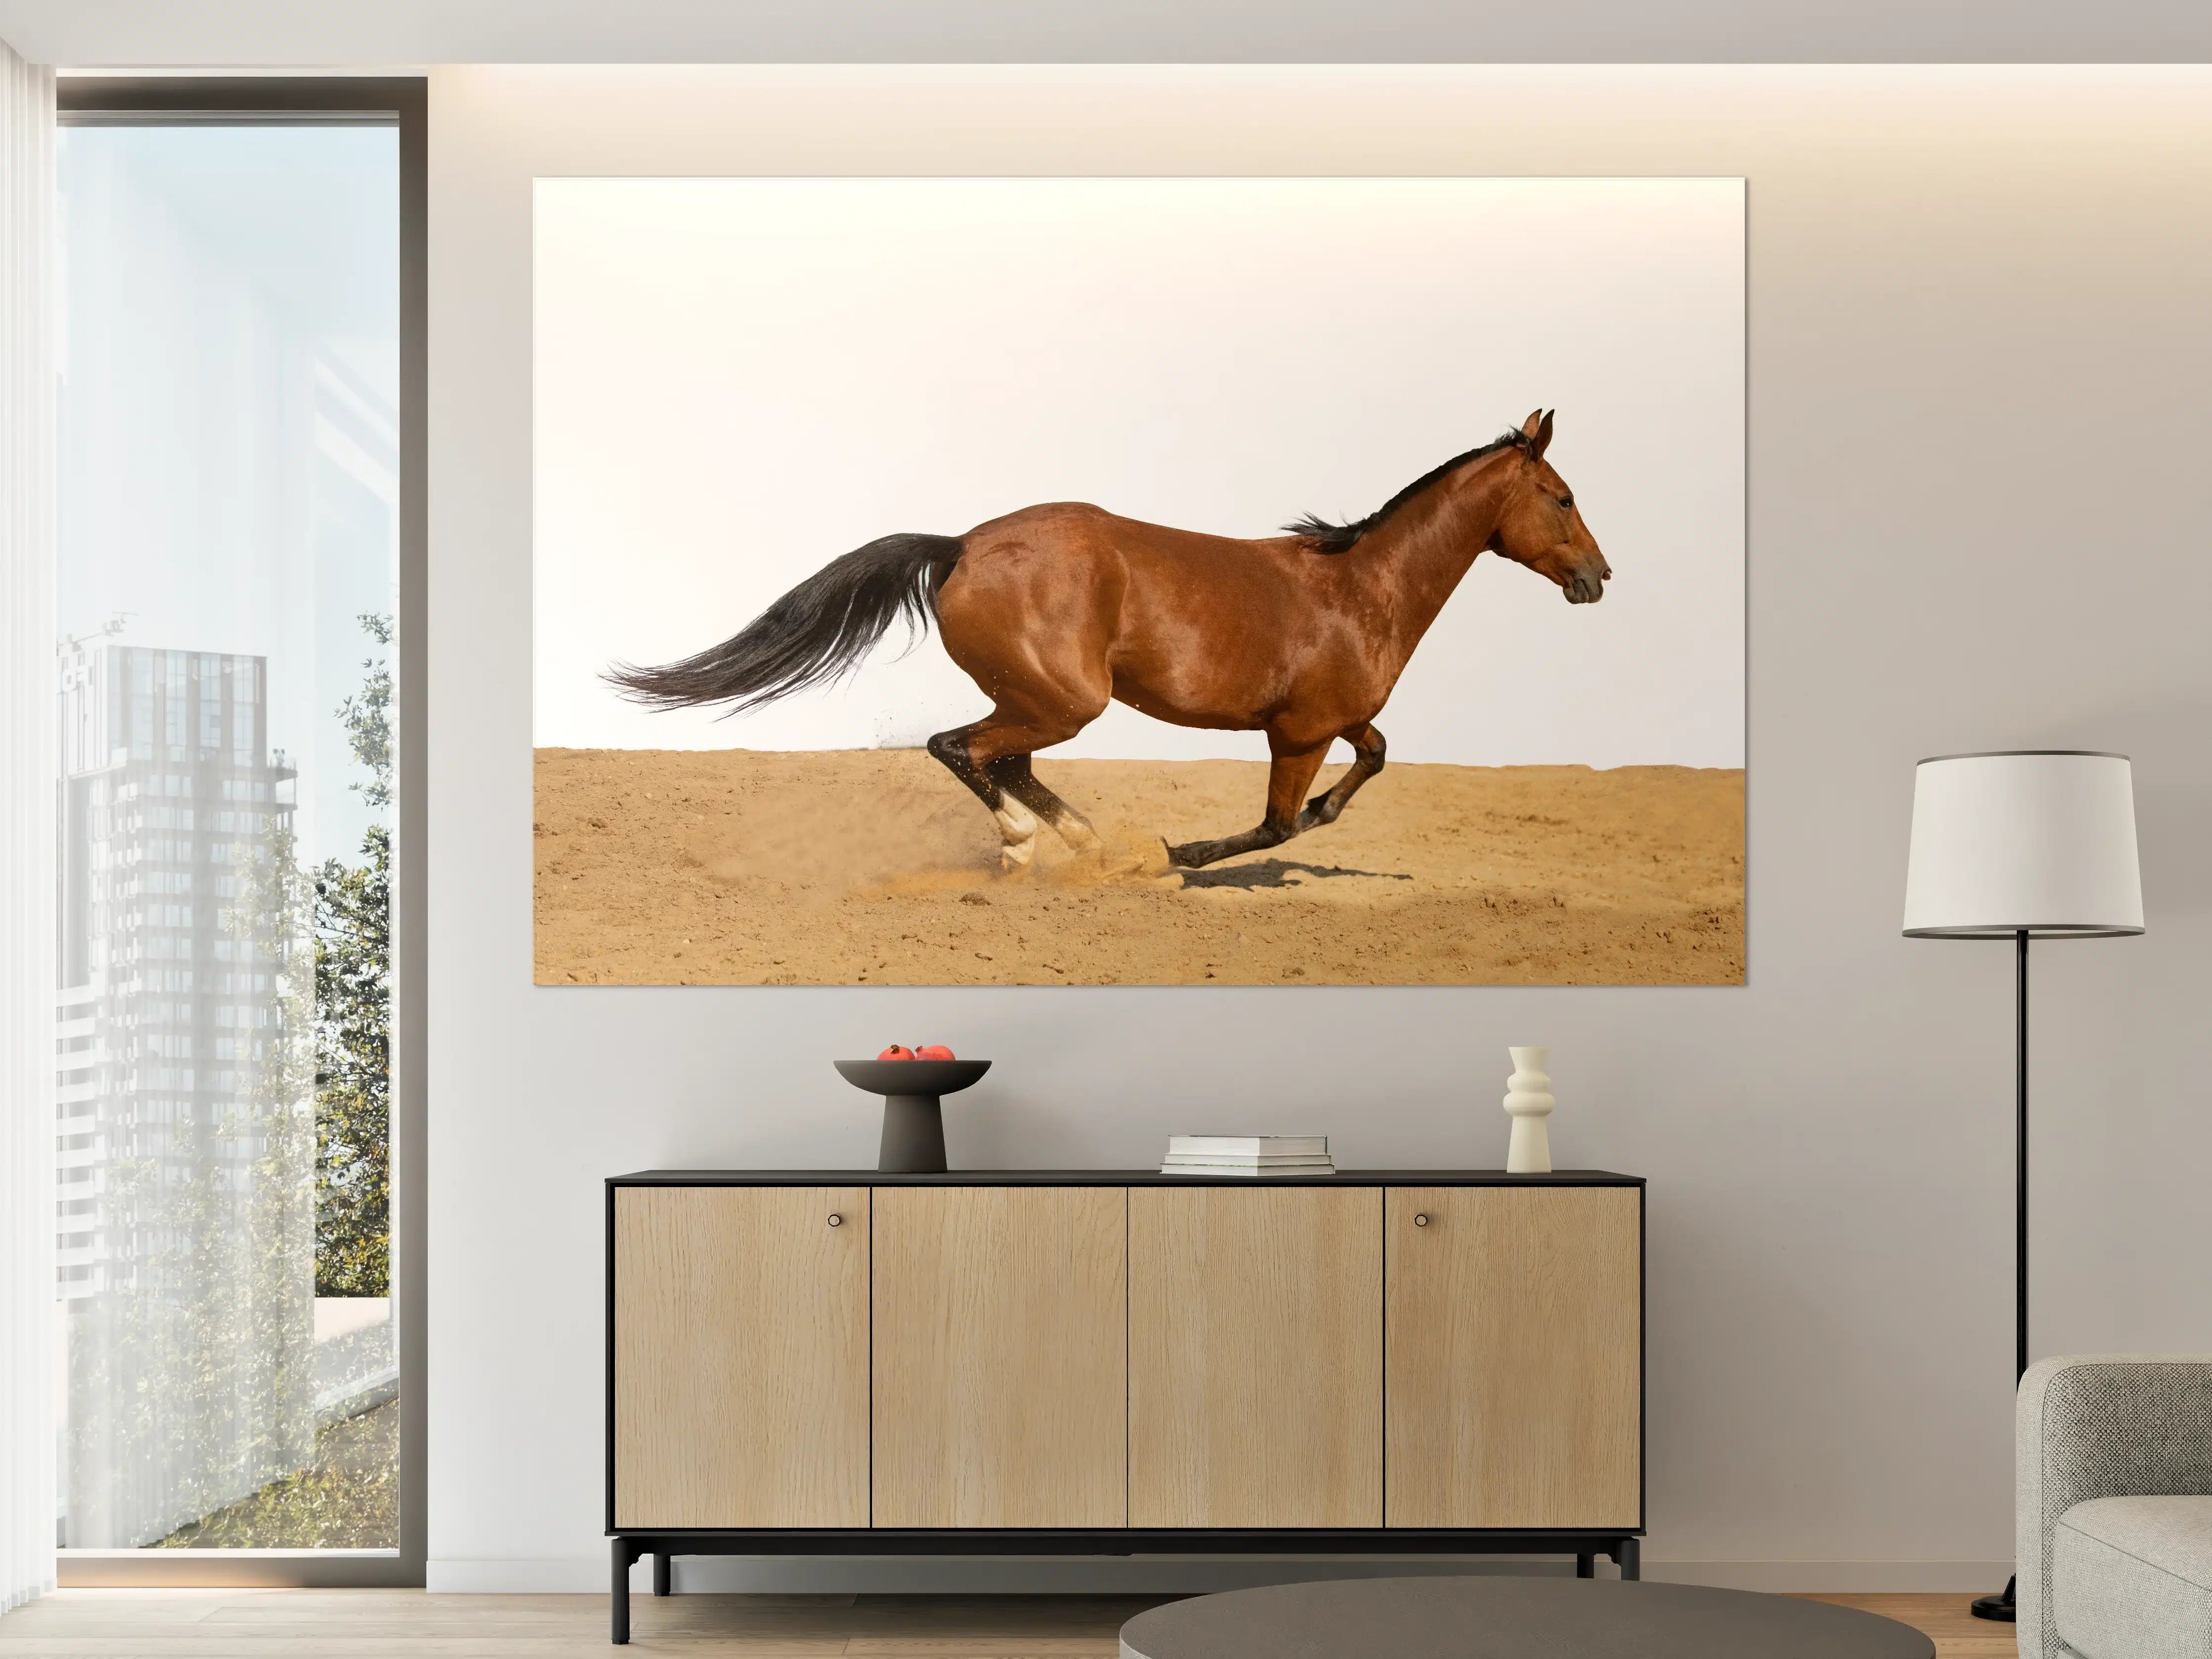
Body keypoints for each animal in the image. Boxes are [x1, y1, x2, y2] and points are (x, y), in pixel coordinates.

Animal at [608, 409, 1610, 872]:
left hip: (1038, 699)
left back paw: (1083, 842)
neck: (1362, 586)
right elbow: (1276, 823)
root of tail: (961, 544)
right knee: (962, 748)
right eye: (1561, 497)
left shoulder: (1335, 719)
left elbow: (1371, 761)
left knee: (999, 758)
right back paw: (1033, 845)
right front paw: (1183, 856)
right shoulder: (1297, 731)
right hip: (1063, 701)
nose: (1598, 576)